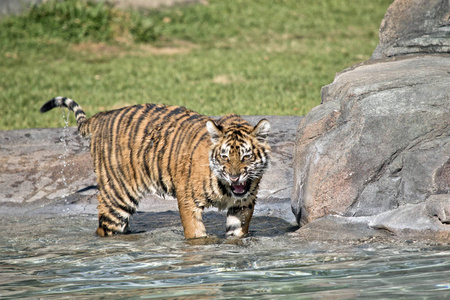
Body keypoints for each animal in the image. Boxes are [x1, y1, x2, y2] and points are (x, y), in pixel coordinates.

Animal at [40, 97, 268, 238]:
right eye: (224, 157)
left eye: (246, 156)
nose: (234, 177)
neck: (227, 189)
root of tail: (103, 115)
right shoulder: (188, 200)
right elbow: (195, 234)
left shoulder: (243, 205)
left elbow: (237, 232)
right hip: (117, 197)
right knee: (105, 229)